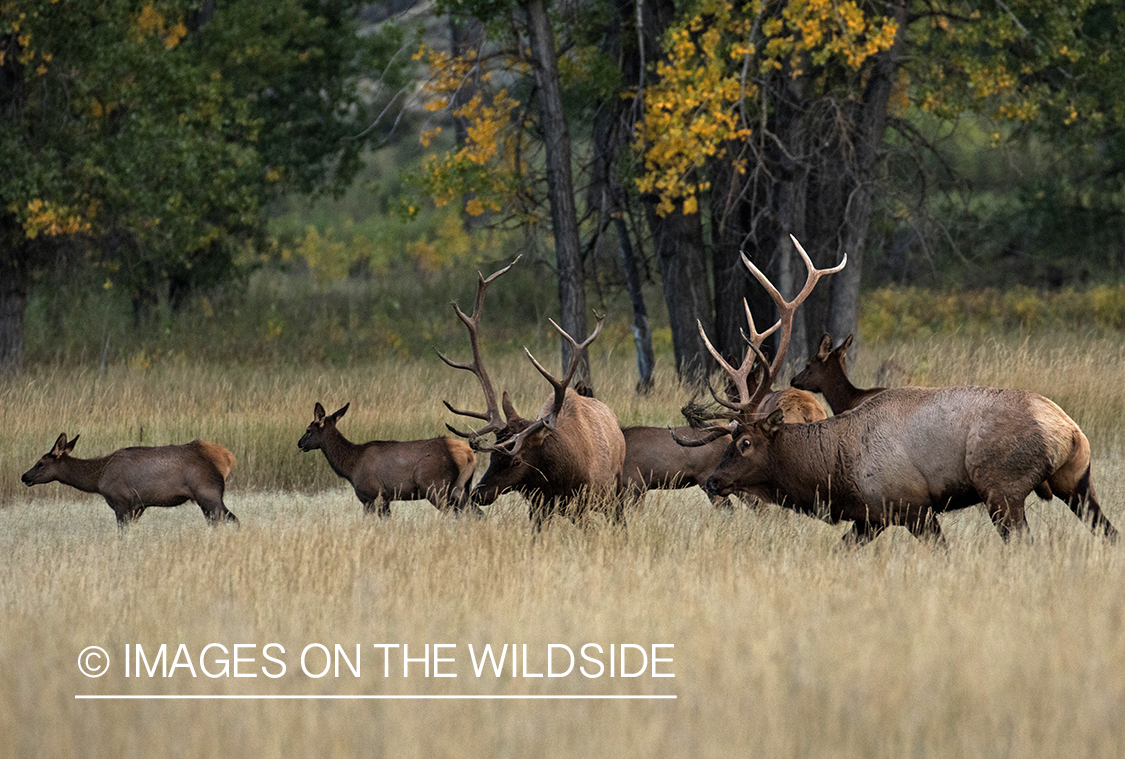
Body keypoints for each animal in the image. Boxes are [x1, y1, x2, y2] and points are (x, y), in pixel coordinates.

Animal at [297, 404, 477, 517]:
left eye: (308, 430)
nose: (299, 443)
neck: (351, 466)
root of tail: (469, 454)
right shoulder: (384, 498)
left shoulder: (374, 495)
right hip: (461, 487)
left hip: (435, 486)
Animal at [436, 258, 630, 526]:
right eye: (493, 457)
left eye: (516, 460)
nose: (479, 494)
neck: (557, 482)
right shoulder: (538, 507)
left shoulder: (582, 504)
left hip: (615, 489)